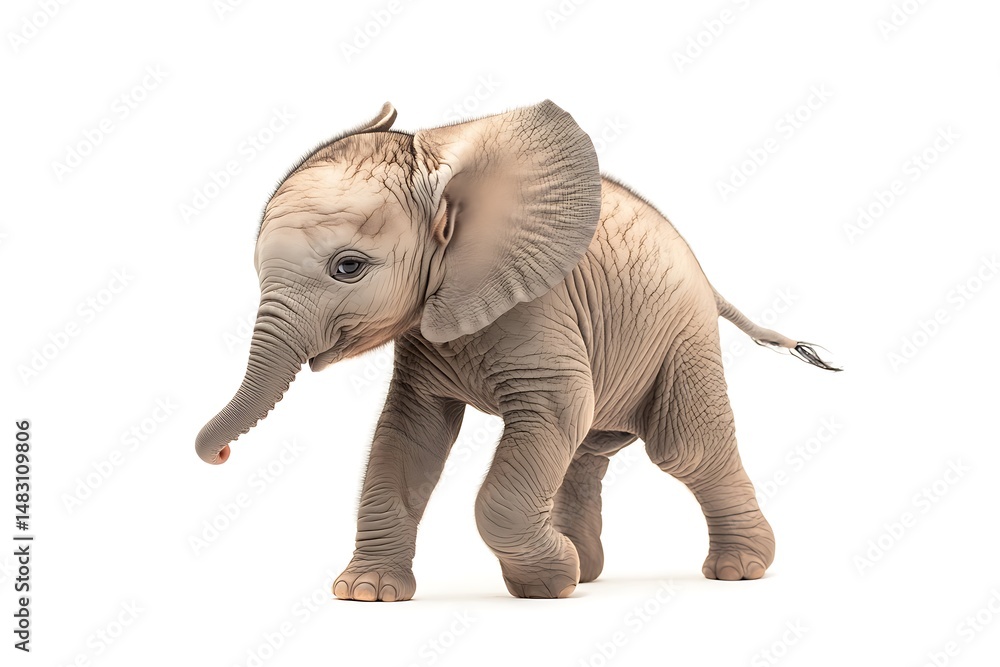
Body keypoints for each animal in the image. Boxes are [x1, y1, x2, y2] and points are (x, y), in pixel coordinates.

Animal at [195, 100, 839, 601]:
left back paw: (738, 571)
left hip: (683, 335)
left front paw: (546, 584)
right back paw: (589, 569)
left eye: (347, 267)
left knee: (685, 450)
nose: (220, 455)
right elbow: (406, 436)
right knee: (589, 447)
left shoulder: (538, 303)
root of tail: (706, 275)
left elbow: (552, 412)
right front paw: (366, 594)